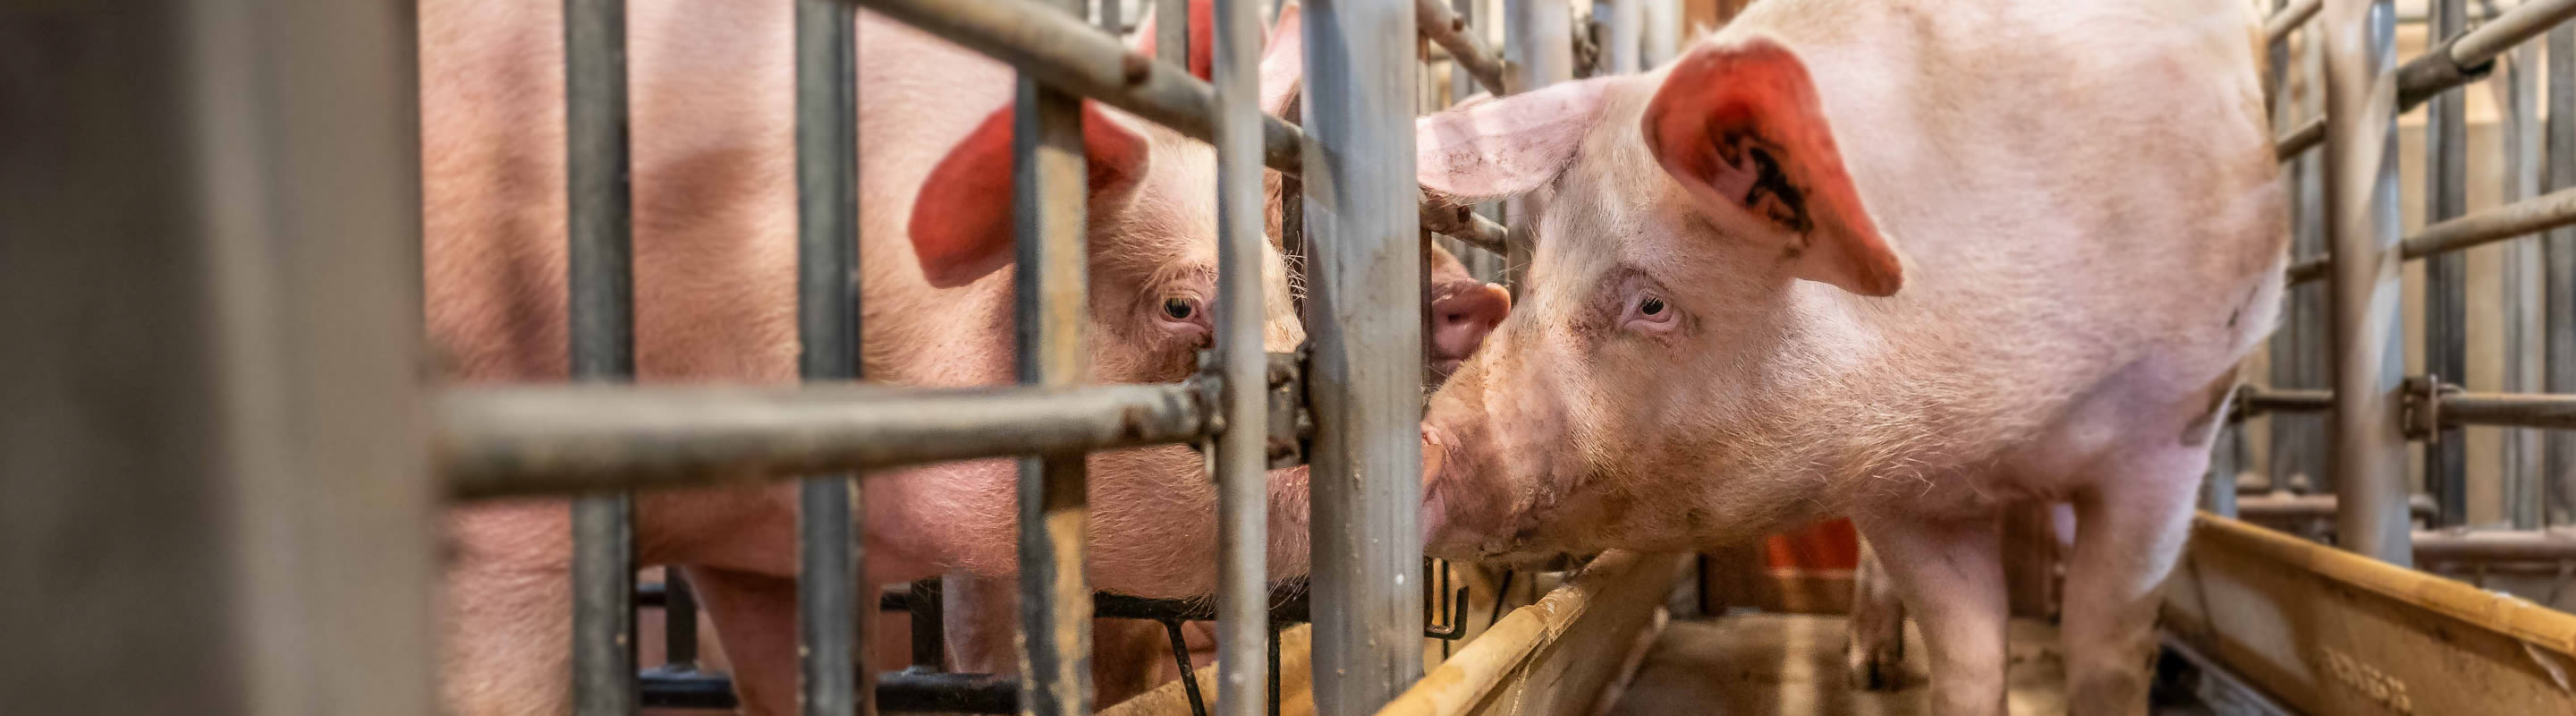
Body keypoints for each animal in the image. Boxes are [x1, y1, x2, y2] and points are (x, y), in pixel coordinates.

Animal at [1410, 1, 2282, 714]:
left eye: (1652, 303)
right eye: (1531, 278)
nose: (1422, 443)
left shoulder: (2177, 421)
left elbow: (2106, 648)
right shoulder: (1899, 488)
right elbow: (1968, 651)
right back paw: (1867, 666)